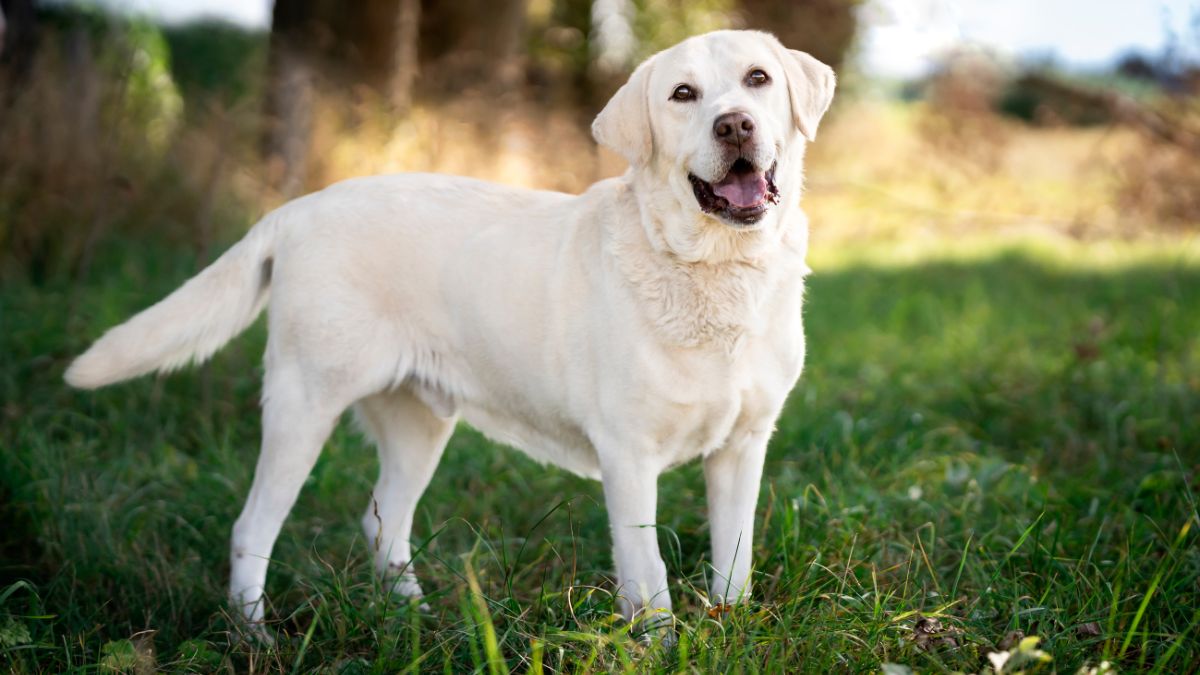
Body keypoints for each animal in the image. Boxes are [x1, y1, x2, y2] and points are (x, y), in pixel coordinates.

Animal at [65, 30, 835, 629]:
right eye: (682, 95)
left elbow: (733, 563)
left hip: (419, 423)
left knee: (382, 522)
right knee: (253, 526)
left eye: (758, 79)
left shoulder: (743, 447)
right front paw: (661, 646)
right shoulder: (628, 456)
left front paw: (729, 630)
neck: (715, 270)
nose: (734, 125)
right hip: (303, 405)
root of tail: (295, 209)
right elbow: (648, 578)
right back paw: (254, 636)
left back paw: (412, 618)